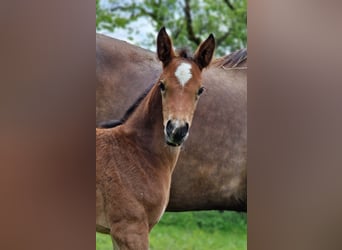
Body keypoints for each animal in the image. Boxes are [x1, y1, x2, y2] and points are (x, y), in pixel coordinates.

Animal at [95, 26, 215, 248]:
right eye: (162, 85)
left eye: (200, 90)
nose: (176, 130)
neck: (137, 151)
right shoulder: (130, 229)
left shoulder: (119, 233)